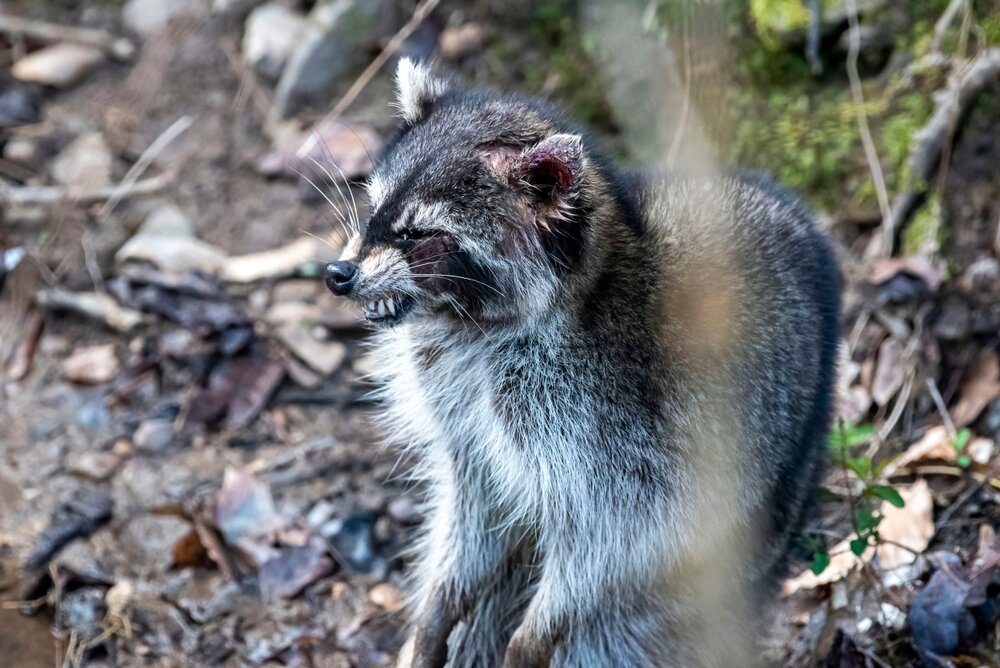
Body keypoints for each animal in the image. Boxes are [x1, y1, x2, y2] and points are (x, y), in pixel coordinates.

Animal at [324, 59, 841, 667]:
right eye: (376, 206)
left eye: (421, 234)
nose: (338, 274)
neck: (476, 328)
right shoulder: (467, 415)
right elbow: (478, 508)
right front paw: (439, 606)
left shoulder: (617, 434)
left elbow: (610, 549)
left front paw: (531, 637)